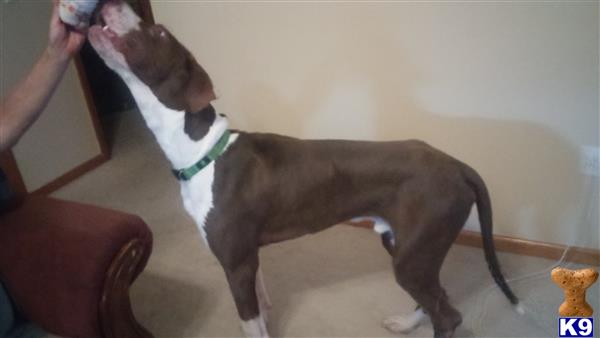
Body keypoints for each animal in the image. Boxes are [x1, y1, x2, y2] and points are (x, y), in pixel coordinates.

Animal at [88, 1, 520, 336]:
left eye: (159, 31)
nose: (106, 3)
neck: (201, 150)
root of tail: (458, 165)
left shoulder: (236, 264)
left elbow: (250, 325)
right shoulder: (249, 259)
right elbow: (262, 312)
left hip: (415, 252)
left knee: (448, 315)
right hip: (406, 245)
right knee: (436, 299)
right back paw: (406, 323)